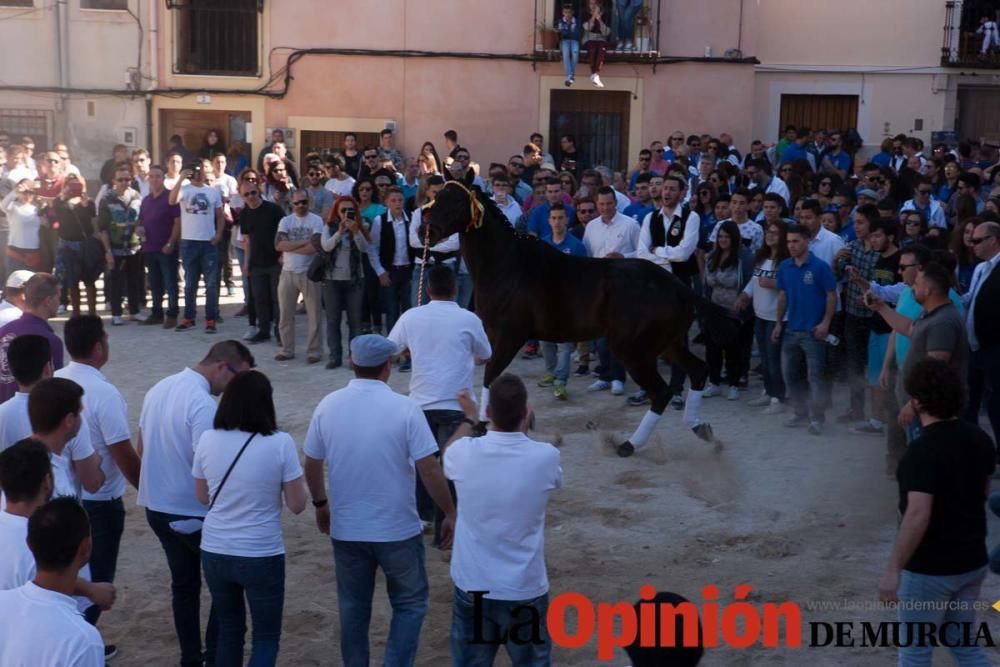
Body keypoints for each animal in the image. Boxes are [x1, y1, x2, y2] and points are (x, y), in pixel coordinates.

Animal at [418, 180, 740, 456]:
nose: (426, 230)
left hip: (635, 351)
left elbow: (490, 375)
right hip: (669, 343)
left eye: (456, 200)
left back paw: (629, 444)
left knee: (661, 392)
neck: (508, 265)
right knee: (697, 370)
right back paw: (699, 428)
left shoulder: (510, 335)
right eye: (438, 196)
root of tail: (679, 287)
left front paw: (484, 425)